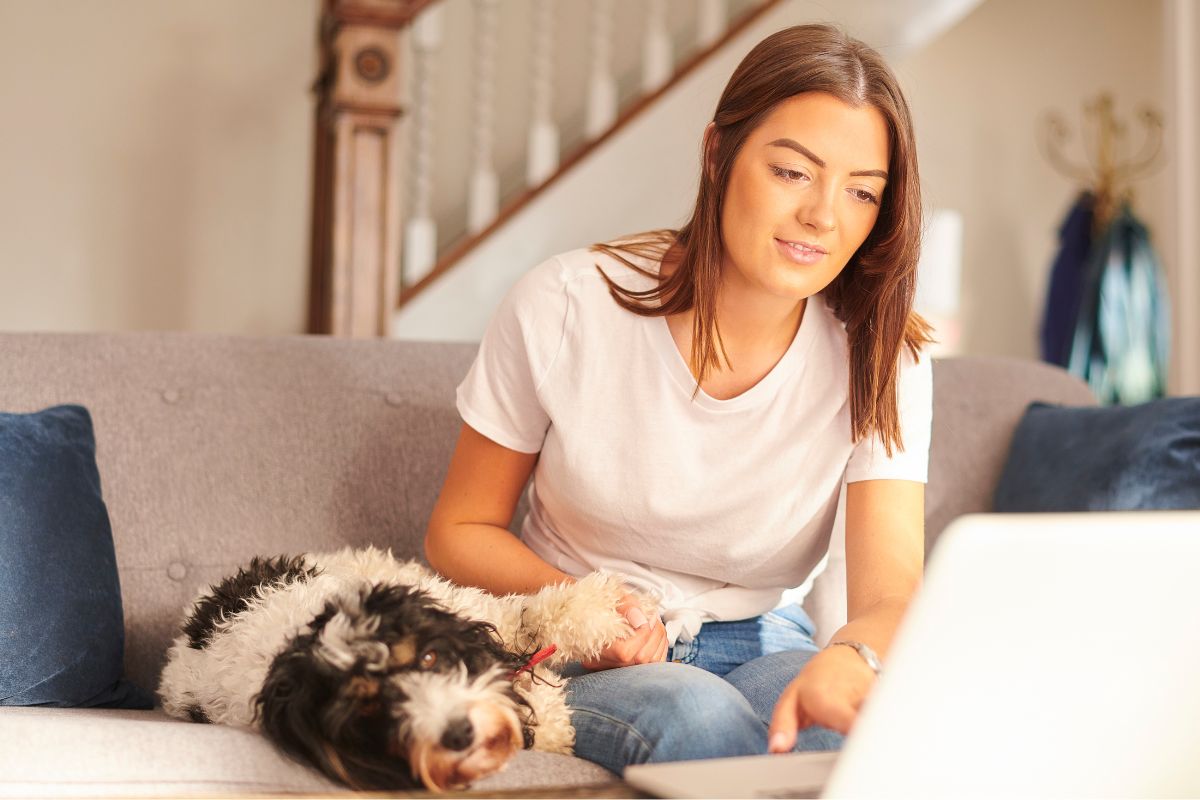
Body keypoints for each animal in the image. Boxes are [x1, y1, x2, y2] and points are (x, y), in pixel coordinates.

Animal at [157, 546, 657, 791]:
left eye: (428, 658)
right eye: (369, 710)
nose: (460, 733)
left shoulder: (463, 612)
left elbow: (528, 617)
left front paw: (613, 610)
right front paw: (546, 719)